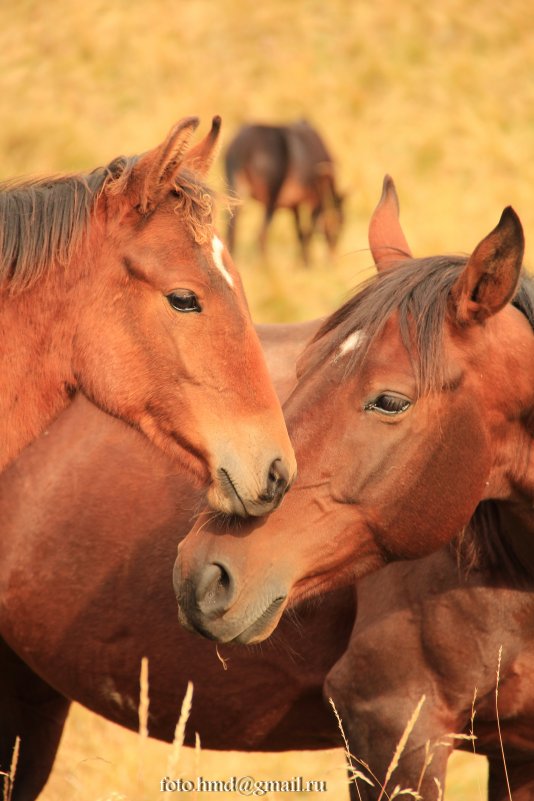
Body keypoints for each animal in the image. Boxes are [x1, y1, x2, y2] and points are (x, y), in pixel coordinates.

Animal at [225, 120, 344, 262]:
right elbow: (308, 231)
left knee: (232, 230)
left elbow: (300, 232)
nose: (334, 258)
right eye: (340, 221)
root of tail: (243, 147)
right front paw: (307, 261)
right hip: (271, 198)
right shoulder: (316, 202)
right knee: (261, 234)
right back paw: (266, 264)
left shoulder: (295, 205)